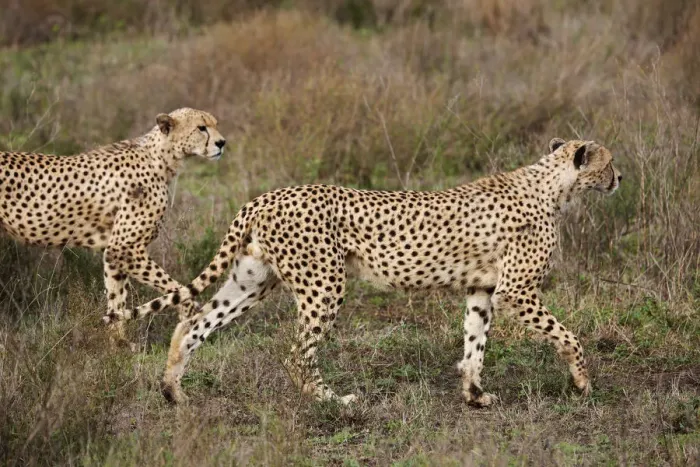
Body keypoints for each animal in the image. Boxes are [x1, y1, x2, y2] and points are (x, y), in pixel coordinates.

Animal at [0, 107, 226, 348]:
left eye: (215, 124)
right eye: (201, 127)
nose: (222, 143)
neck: (161, 157)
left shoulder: (114, 252)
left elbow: (116, 297)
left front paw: (118, 343)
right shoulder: (124, 248)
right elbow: (176, 288)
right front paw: (191, 313)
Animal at [118, 137, 621, 405]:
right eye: (610, 161)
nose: (620, 179)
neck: (554, 185)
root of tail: (266, 195)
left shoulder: (481, 289)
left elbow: (474, 345)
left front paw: (474, 395)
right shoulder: (515, 290)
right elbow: (568, 335)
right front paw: (583, 381)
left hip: (253, 280)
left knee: (193, 324)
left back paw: (173, 391)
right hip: (323, 284)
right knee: (296, 352)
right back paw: (329, 401)